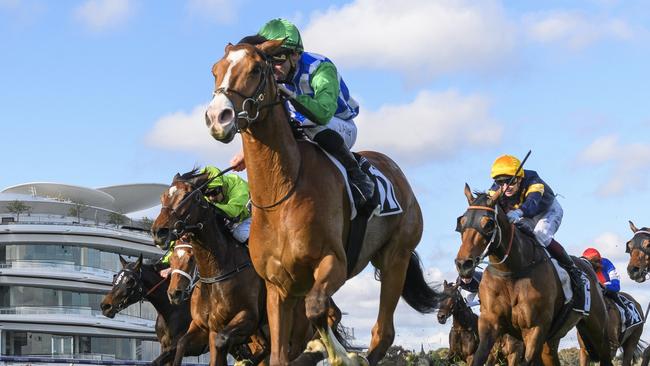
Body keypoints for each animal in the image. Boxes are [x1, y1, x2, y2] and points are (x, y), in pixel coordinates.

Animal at [205, 40, 442, 366]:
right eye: (215, 70)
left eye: (255, 69)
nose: (218, 117)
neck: (281, 196)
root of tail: (395, 169)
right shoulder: (277, 287)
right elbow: (279, 352)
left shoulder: (334, 263)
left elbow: (317, 309)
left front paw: (341, 355)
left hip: (396, 257)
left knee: (383, 333)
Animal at [454, 186, 612, 366]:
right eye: (461, 222)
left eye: (488, 224)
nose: (463, 264)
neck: (511, 272)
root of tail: (589, 266)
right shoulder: (490, 323)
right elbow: (479, 357)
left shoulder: (535, 329)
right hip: (551, 342)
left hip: (598, 331)